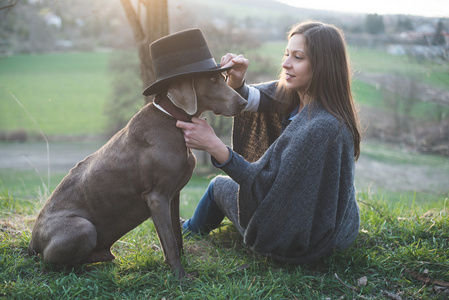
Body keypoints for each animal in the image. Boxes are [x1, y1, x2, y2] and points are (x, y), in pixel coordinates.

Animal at [28, 73, 245, 278]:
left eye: (224, 78)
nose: (243, 102)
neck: (173, 119)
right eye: (212, 79)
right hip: (83, 228)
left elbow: (176, 234)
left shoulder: (173, 195)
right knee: (53, 262)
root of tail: (32, 241)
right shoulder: (157, 197)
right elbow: (169, 242)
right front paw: (181, 277)